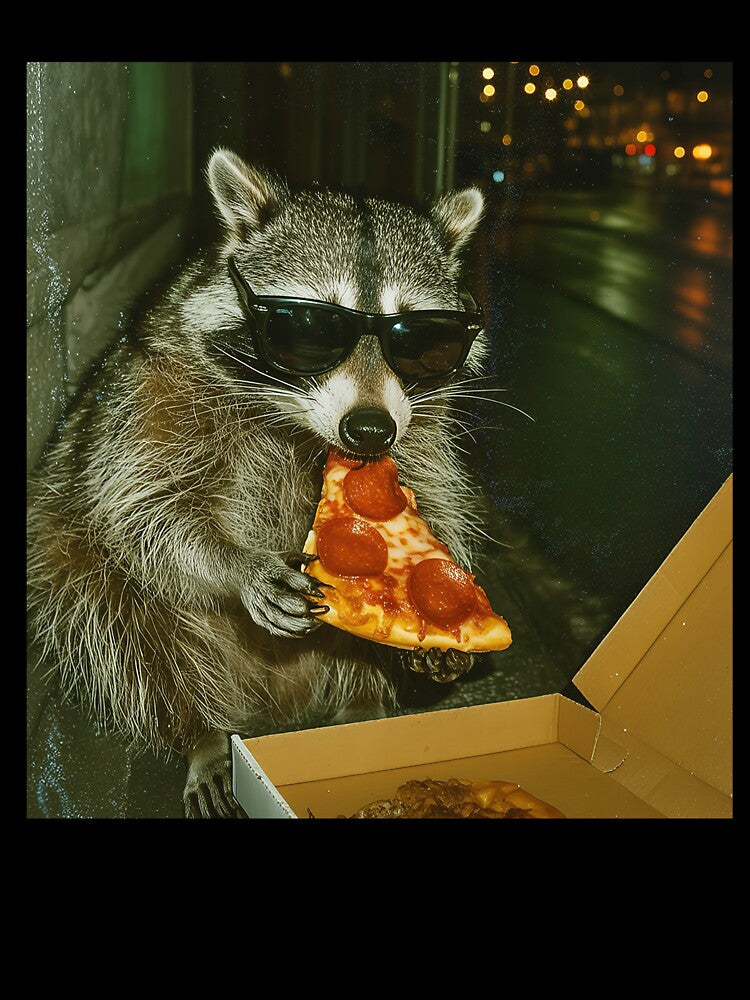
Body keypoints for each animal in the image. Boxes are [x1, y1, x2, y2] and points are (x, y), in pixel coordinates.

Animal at [27, 148, 490, 818]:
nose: (370, 429)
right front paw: (237, 565)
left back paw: (362, 700)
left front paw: (443, 589)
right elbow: (142, 506)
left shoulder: (421, 426)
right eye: (311, 327)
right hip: (68, 556)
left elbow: (433, 496)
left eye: (420, 338)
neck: (298, 426)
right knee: (124, 628)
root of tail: (276, 700)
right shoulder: (152, 393)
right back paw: (201, 731)